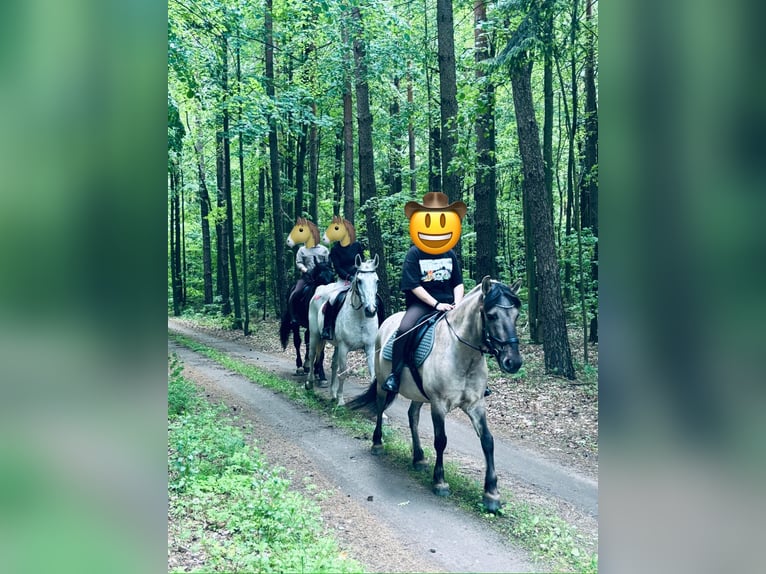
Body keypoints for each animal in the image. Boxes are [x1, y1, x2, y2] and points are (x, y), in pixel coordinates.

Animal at [279, 219, 334, 378]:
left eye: (332, 277)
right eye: (320, 278)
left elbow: (320, 348)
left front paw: (319, 371)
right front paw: (314, 369)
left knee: (307, 339)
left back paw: (307, 364)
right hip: (296, 322)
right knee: (298, 341)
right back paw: (300, 366)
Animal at [306, 254, 380, 406]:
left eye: (377, 281)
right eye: (359, 281)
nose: (370, 310)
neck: (360, 317)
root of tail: (318, 290)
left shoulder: (369, 347)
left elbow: (372, 374)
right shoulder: (344, 347)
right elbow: (344, 372)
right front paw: (341, 401)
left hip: (336, 345)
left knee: (334, 365)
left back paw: (332, 393)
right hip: (315, 335)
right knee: (312, 356)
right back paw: (310, 383)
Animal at [347, 277, 523, 513]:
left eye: (516, 315)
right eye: (492, 315)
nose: (513, 362)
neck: (462, 354)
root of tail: (387, 322)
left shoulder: (476, 405)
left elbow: (487, 441)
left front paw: (491, 493)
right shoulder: (439, 404)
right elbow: (441, 440)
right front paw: (440, 482)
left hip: (419, 394)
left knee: (412, 417)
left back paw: (419, 458)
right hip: (384, 386)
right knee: (381, 407)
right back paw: (377, 444)